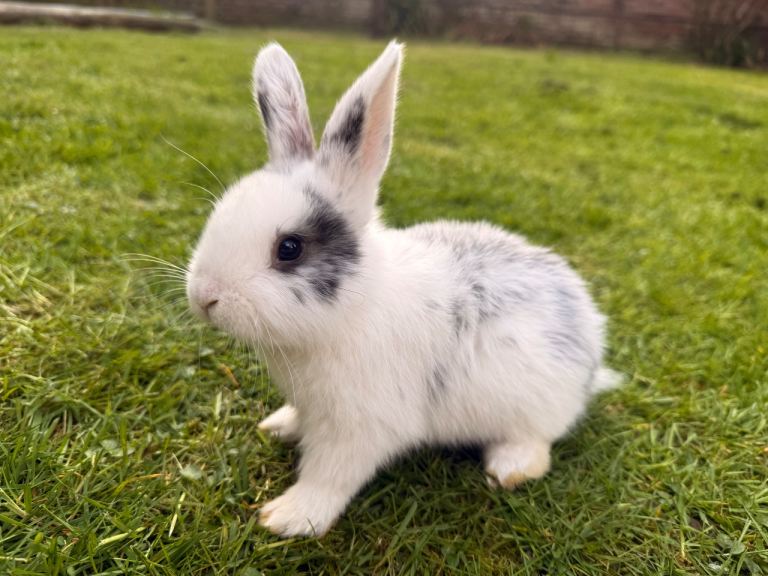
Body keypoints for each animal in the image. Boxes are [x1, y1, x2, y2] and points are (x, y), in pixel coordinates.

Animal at [185, 40, 621, 538]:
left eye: (289, 248)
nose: (204, 296)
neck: (352, 310)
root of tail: (591, 342)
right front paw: (276, 427)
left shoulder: (359, 427)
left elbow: (329, 476)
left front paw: (287, 517)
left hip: (534, 408)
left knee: (537, 442)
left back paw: (508, 468)